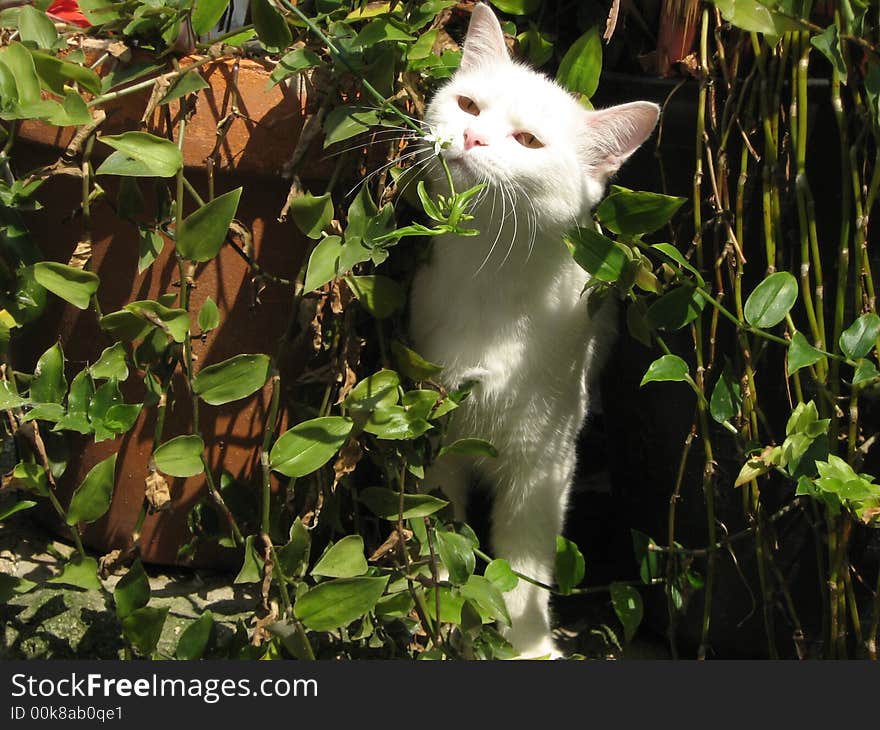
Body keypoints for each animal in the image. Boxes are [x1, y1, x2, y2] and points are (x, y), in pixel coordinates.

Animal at [412, 2, 660, 656]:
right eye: (468, 106)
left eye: (528, 141)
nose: (471, 137)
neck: (489, 283)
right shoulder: (435, 432)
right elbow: (439, 531)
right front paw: (444, 612)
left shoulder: (543, 464)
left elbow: (524, 565)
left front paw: (526, 643)